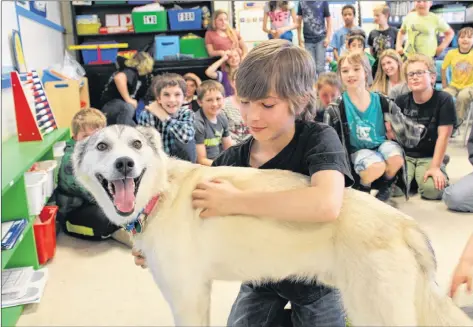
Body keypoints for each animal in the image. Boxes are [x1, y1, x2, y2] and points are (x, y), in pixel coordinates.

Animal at [72, 125, 470, 327]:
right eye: (102, 146)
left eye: (136, 144)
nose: (125, 163)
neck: (161, 192)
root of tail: (404, 224)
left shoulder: (188, 296)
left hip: (376, 312)